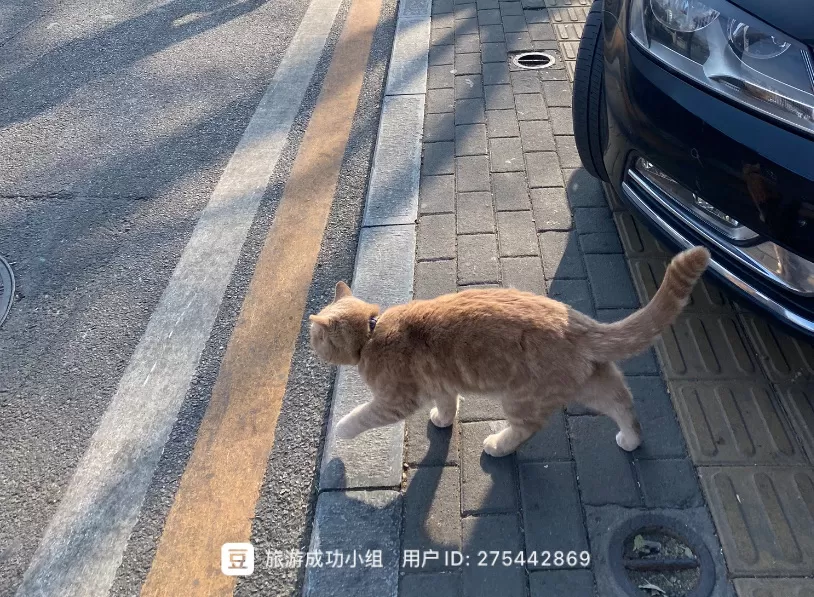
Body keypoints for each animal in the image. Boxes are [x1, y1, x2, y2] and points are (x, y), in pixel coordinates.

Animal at [310, 246, 710, 457]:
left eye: (314, 340)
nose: (312, 350)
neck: (372, 330)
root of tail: (576, 322)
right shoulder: (442, 385)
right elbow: (447, 404)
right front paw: (443, 419)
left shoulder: (395, 400)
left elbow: (361, 417)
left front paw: (340, 431)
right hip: (593, 383)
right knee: (624, 404)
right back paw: (631, 438)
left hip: (522, 399)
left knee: (527, 428)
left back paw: (498, 445)